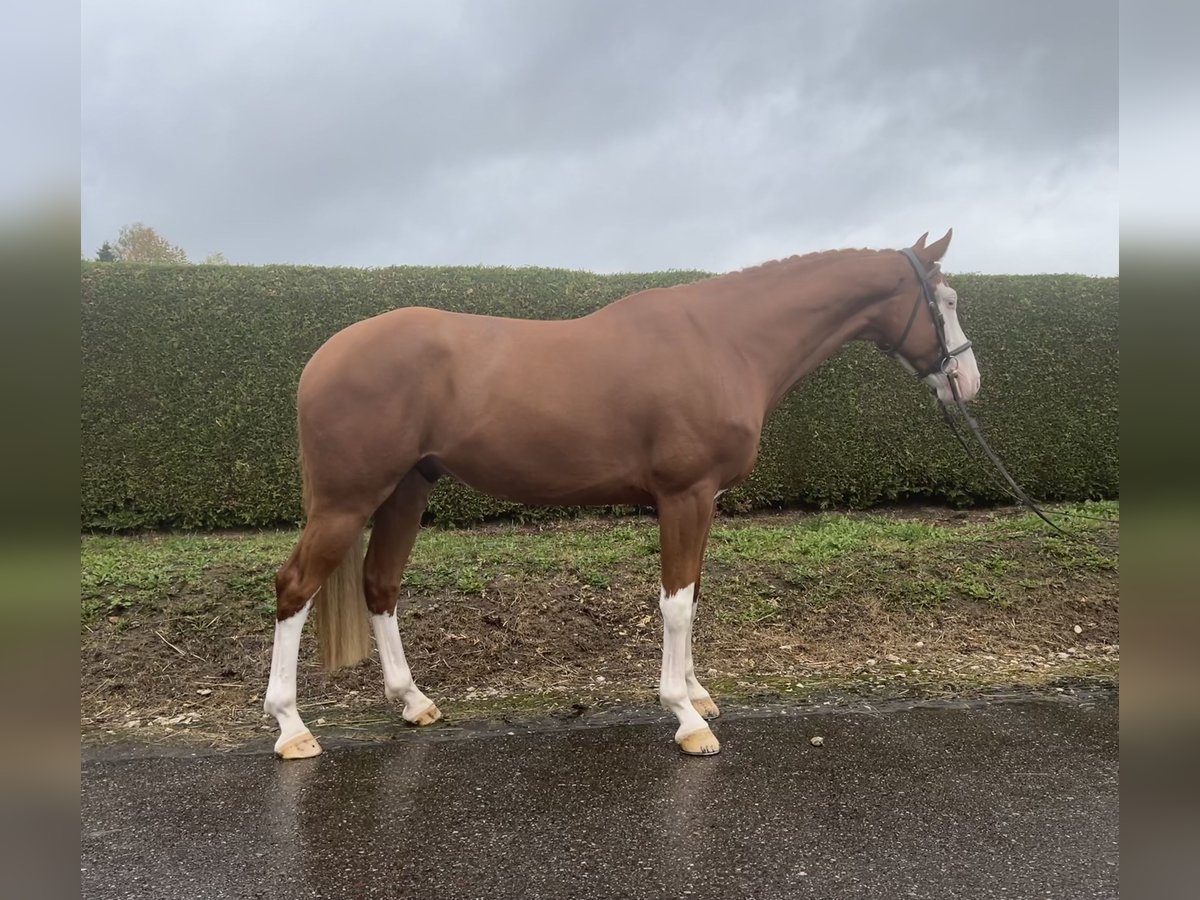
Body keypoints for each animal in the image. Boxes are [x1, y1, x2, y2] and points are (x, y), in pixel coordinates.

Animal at [260, 229, 974, 758]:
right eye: (947, 299)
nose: (968, 380)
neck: (725, 341)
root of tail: (323, 357)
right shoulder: (686, 495)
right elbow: (676, 604)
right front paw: (687, 717)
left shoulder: (702, 500)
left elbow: (691, 595)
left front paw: (698, 693)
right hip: (347, 501)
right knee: (295, 588)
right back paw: (292, 728)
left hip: (405, 491)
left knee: (379, 585)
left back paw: (412, 702)